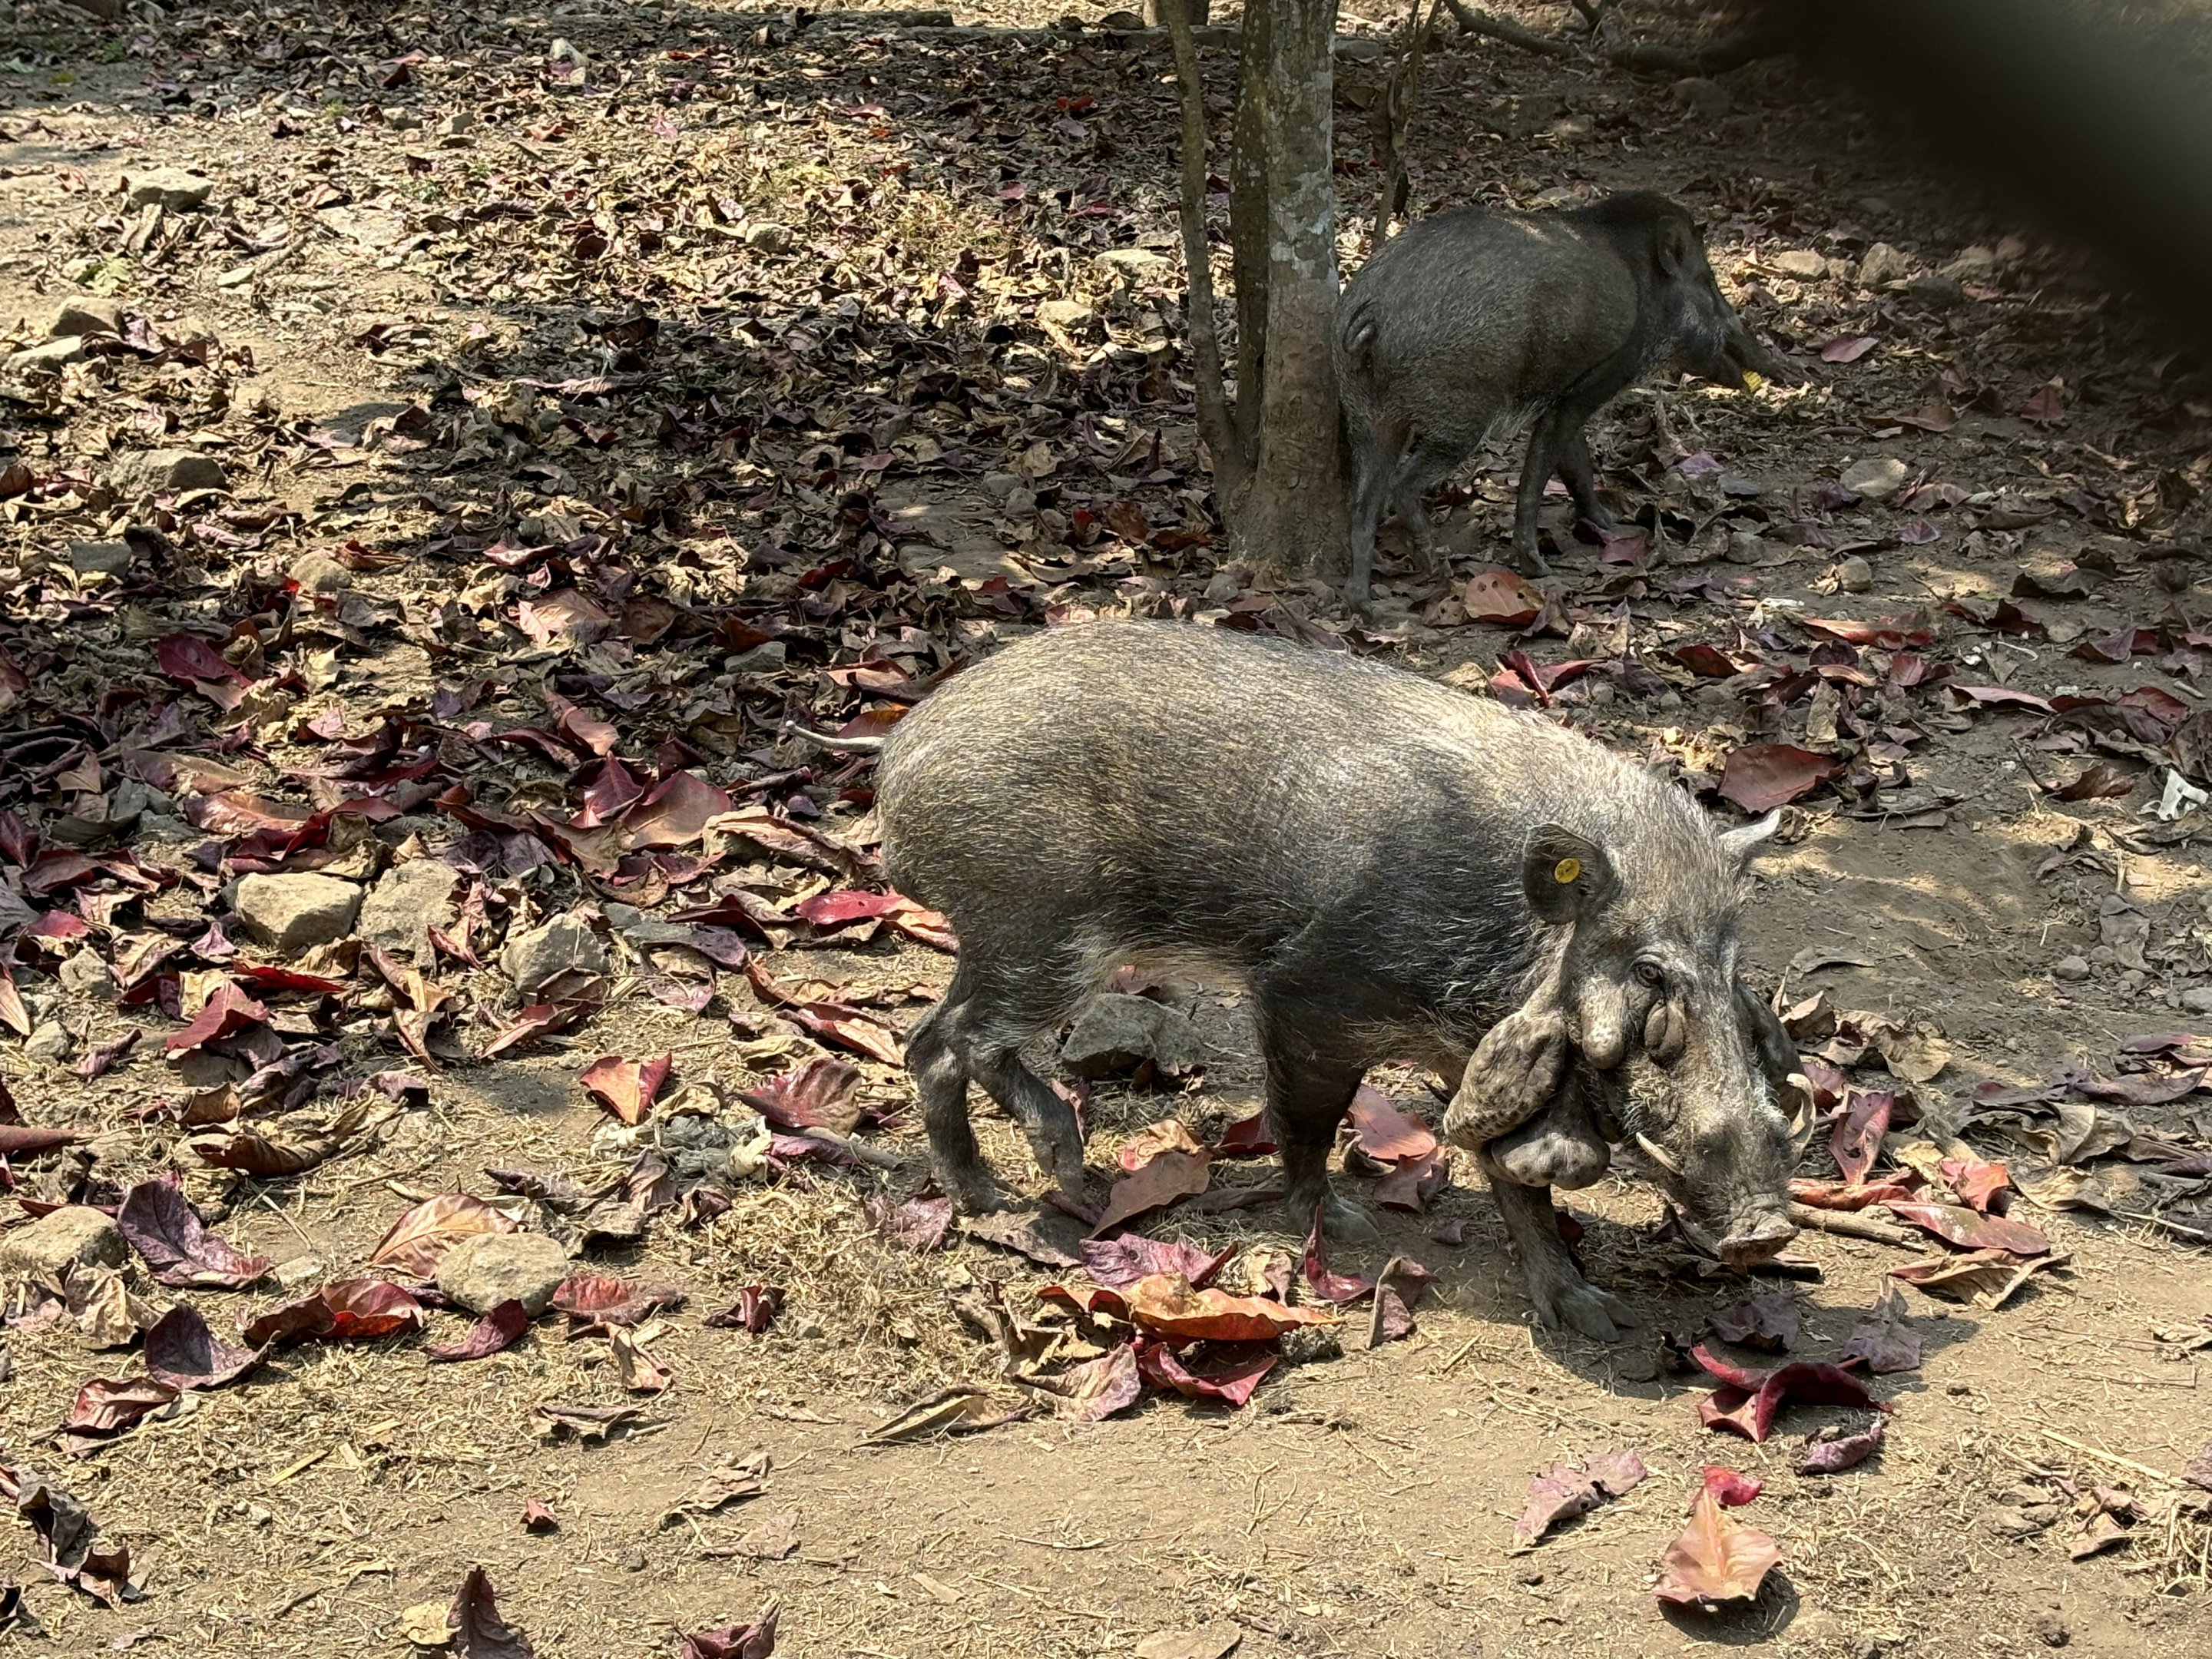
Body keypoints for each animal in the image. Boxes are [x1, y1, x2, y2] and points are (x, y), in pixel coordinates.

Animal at [851, 618, 1811, 1341]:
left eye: (1733, 968)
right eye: (1647, 972)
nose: (1767, 1231)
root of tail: (897, 759)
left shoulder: (1474, 1050)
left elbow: (1519, 1186)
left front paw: (1593, 1315)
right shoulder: (1307, 996)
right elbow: (1306, 1123)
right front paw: (1340, 1223)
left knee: (947, 1041)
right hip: (1037, 940)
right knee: (937, 1042)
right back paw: (1003, 1201)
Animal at [1335, 190, 1794, 600]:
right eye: (1708, 284)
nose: (1790, 370)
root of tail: (1374, 314)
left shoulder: (1564, 392)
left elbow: (1576, 463)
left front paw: (1611, 524)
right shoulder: (1594, 380)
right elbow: (1545, 466)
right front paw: (1539, 567)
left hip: (1366, 415)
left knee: (1363, 503)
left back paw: (1362, 603)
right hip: (1459, 414)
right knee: (1402, 486)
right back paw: (1436, 565)